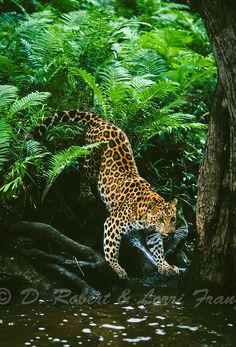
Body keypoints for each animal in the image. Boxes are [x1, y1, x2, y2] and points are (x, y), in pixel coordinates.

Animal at [47, 111, 179, 280]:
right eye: (161, 220)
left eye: (173, 219)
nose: (170, 234)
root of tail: (102, 121)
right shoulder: (113, 223)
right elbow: (111, 248)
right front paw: (116, 268)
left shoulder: (153, 233)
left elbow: (158, 249)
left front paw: (165, 266)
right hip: (90, 159)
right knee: (82, 173)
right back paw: (86, 195)